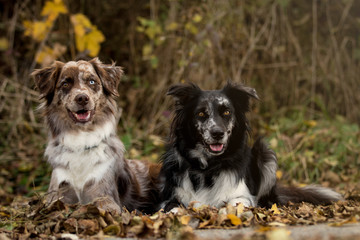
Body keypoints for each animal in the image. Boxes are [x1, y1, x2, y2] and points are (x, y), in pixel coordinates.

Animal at [160, 82, 344, 210]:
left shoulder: (242, 195)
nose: (217, 133)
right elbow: (173, 208)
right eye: (201, 113)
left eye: (227, 112)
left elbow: (234, 205)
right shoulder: (172, 197)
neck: (208, 168)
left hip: (265, 152)